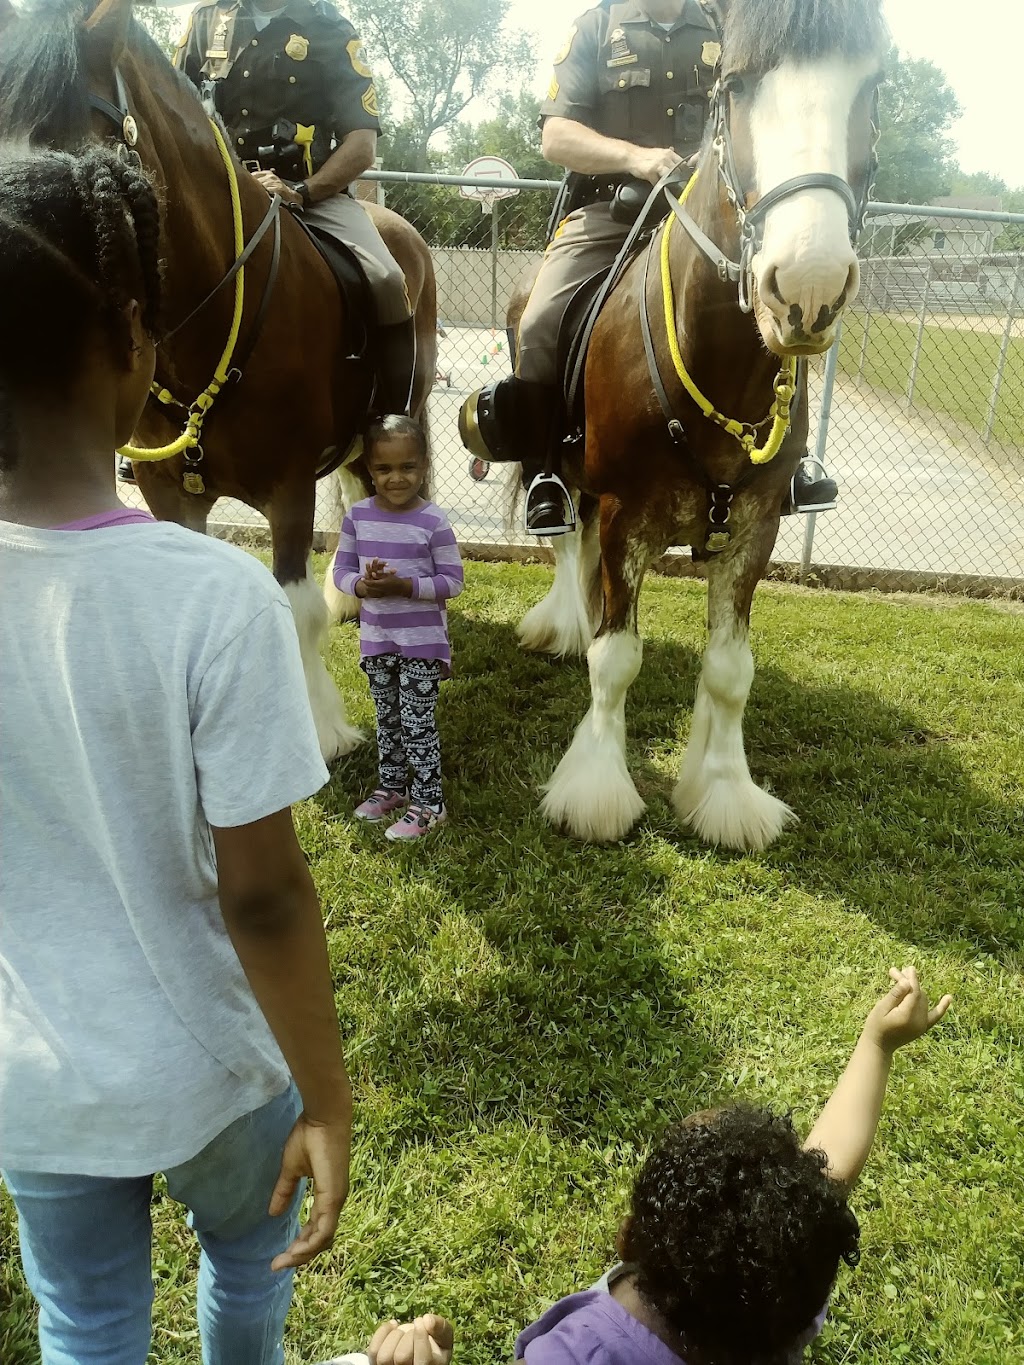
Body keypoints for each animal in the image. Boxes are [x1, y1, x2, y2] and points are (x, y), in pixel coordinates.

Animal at [510, 0, 884, 840]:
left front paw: (722, 789)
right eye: (736, 86)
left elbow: (730, 669)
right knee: (565, 541)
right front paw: (597, 789)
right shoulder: (626, 513)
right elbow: (617, 659)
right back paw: (565, 622)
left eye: (872, 88)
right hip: (562, 467)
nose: (807, 284)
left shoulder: (755, 526)